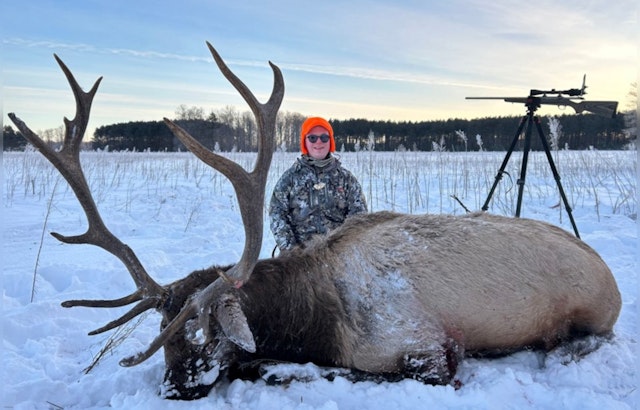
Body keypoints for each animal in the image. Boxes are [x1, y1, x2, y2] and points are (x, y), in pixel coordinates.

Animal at [8, 42, 622, 401]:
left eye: (205, 329)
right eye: (163, 331)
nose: (175, 389)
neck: (313, 317)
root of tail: (613, 280)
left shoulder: (426, 348)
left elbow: (311, 369)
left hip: (591, 316)